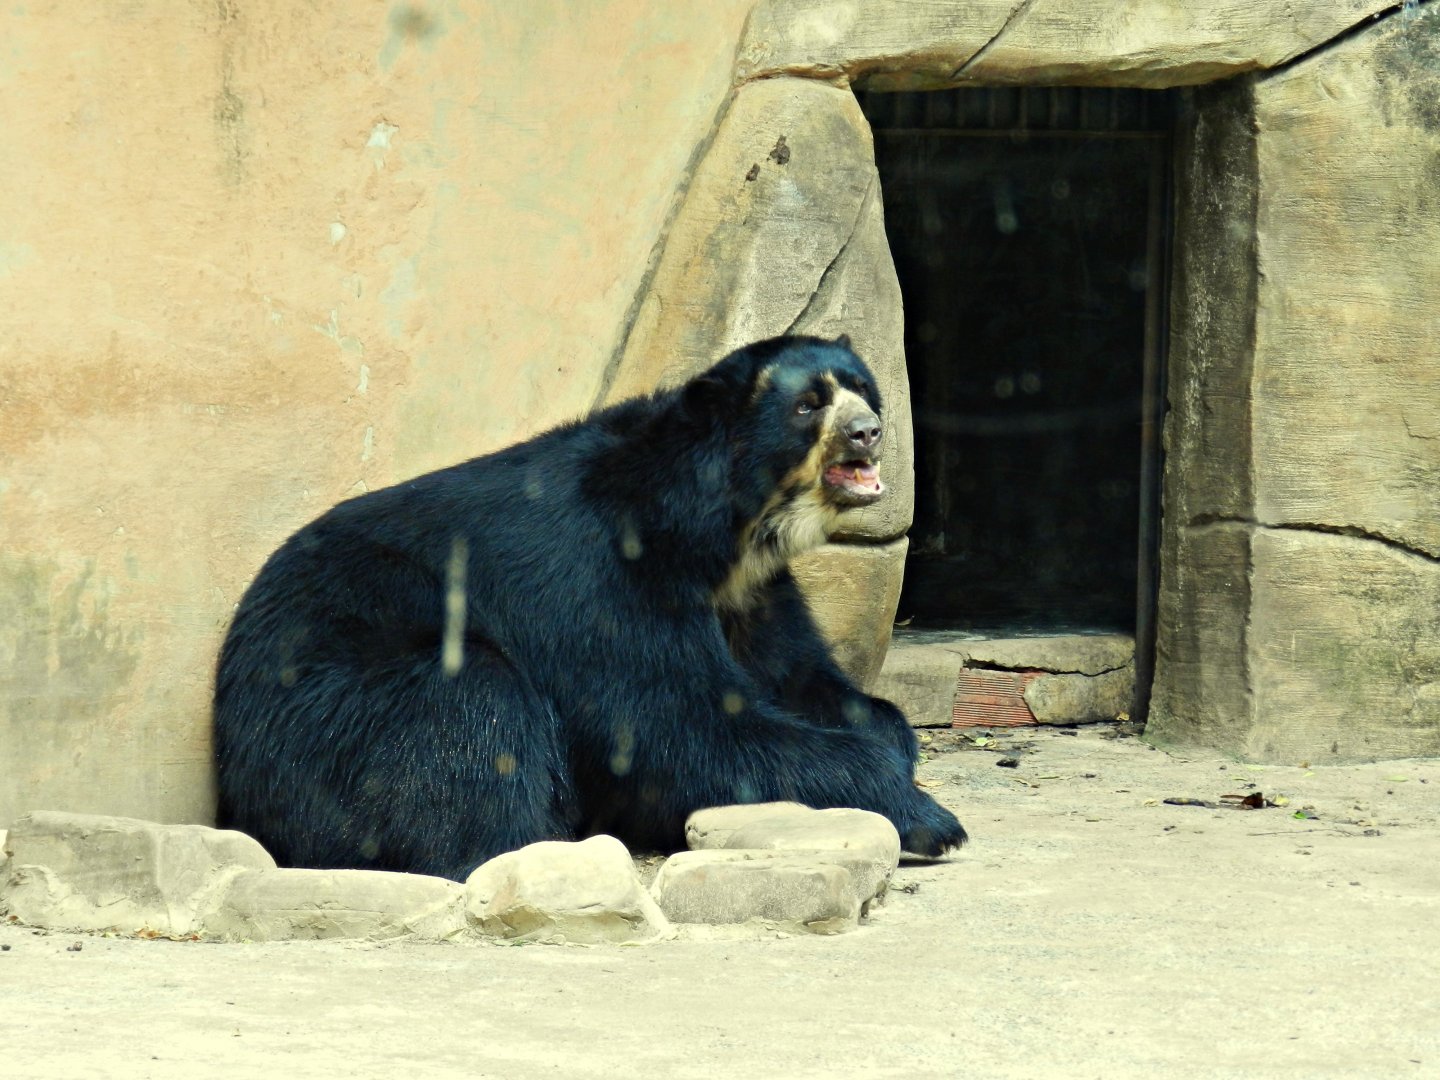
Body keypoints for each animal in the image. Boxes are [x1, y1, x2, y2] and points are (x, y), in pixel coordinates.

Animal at [213, 335, 966, 880]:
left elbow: (803, 679)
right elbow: (673, 728)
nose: (869, 431)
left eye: (861, 387)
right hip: (337, 706)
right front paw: (931, 818)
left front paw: (892, 743)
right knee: (472, 708)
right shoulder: (605, 581)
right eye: (808, 406)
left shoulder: (752, 595)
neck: (720, 532)